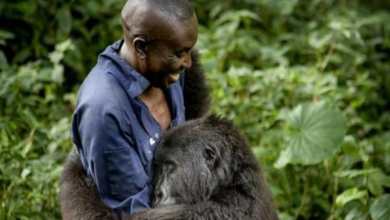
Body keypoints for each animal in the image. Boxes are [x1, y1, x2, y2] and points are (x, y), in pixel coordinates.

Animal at [59, 116, 278, 219]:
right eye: (158, 168)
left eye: (170, 167)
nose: (157, 194)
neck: (231, 182)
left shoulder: (205, 214)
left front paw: (75, 165)